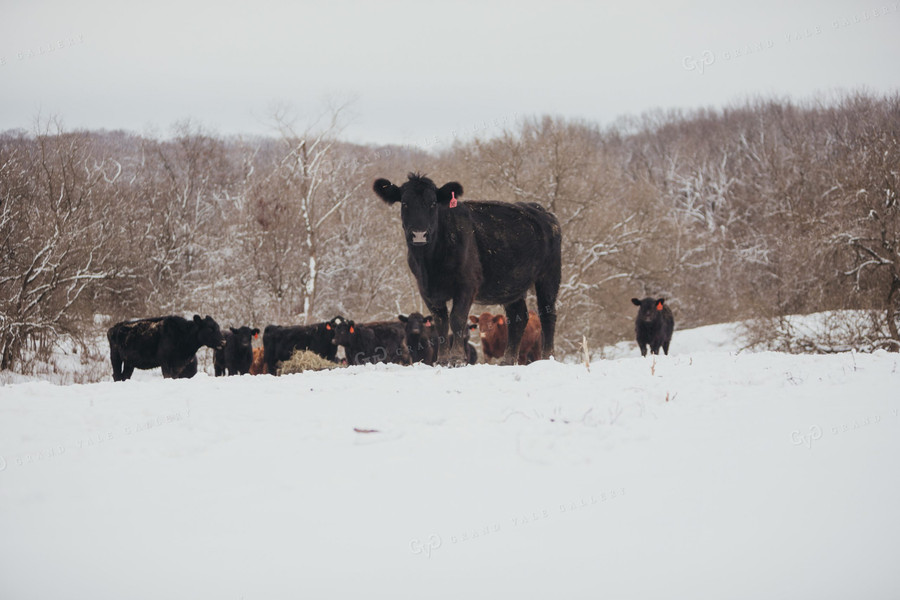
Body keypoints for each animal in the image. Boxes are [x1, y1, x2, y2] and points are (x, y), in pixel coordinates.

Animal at [370, 173, 556, 366]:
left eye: (433, 203)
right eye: (405, 203)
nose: (419, 234)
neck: (430, 265)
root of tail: (538, 209)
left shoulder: (467, 284)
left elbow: (457, 318)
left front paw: (457, 359)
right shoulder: (426, 290)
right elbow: (441, 322)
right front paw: (443, 360)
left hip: (549, 275)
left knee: (548, 314)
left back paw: (548, 357)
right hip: (511, 285)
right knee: (518, 317)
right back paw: (507, 360)